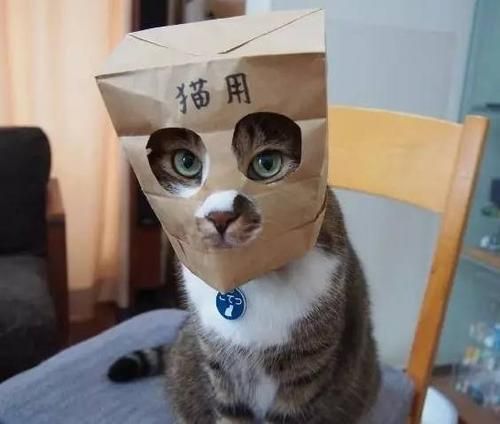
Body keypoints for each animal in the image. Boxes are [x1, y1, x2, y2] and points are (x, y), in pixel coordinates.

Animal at [108, 112, 381, 423]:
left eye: (267, 164)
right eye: (187, 163)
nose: (220, 216)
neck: (252, 277)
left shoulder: (306, 370)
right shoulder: (220, 367)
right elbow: (230, 412)